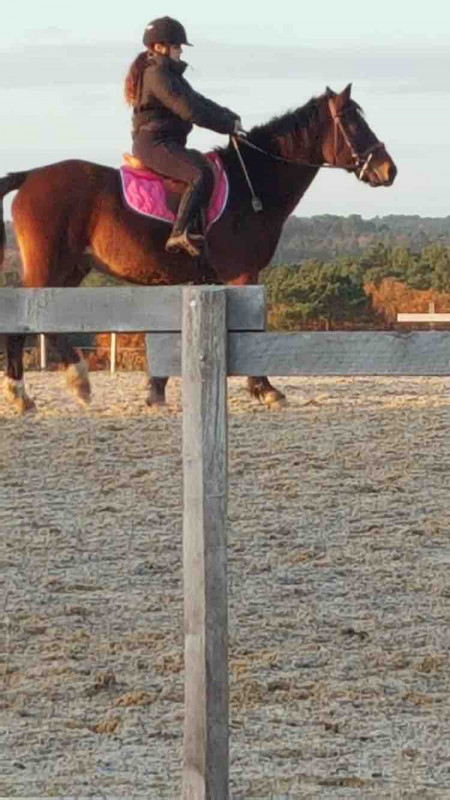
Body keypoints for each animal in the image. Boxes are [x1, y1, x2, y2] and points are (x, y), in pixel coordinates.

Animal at [0, 84, 396, 412]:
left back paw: (67, 384)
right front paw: (265, 389)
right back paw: (31, 392)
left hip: (72, 269)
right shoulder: (242, 274)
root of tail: (30, 176)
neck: (250, 185)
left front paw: (156, 390)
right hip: (50, 267)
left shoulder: (200, 280)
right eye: (353, 124)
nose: (388, 170)